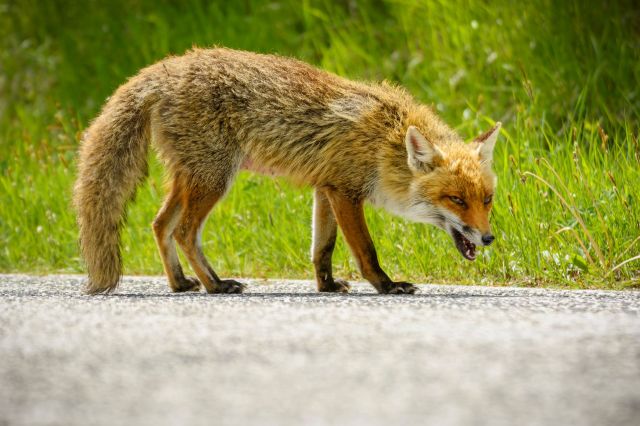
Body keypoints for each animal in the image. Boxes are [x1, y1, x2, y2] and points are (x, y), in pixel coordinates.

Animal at [73, 47, 500, 295]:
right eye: (455, 199)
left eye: (487, 200)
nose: (489, 238)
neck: (385, 141)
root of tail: (166, 68)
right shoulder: (346, 192)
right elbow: (365, 249)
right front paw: (386, 285)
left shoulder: (326, 189)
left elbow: (322, 248)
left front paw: (326, 286)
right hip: (214, 179)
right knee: (184, 231)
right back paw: (215, 285)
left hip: (192, 177)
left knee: (160, 224)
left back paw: (180, 284)